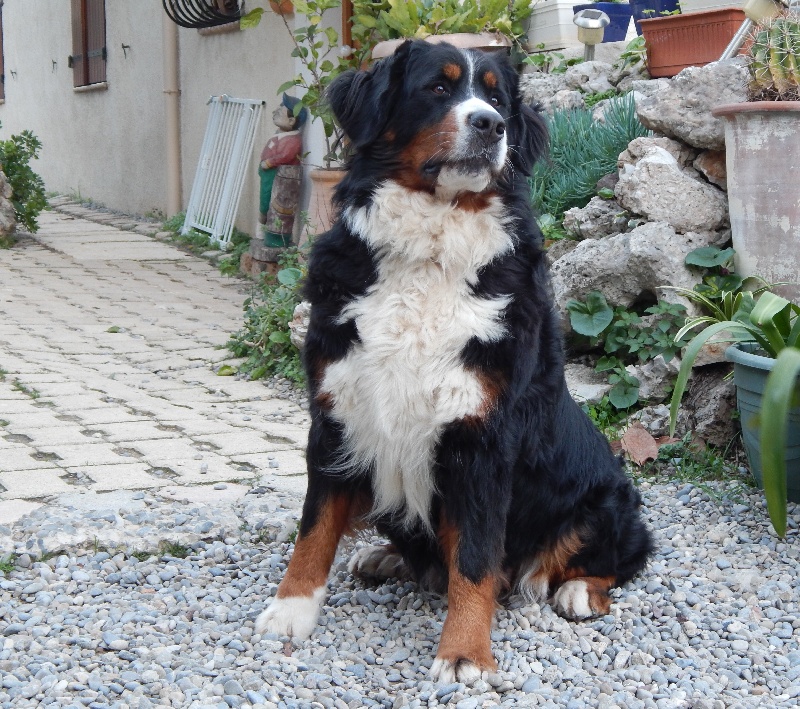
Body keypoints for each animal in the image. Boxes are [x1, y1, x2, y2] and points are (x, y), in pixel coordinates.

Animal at [255, 40, 653, 684]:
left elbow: (475, 556)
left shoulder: (482, 436)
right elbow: (314, 527)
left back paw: (575, 591)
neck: (429, 253)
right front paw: (291, 610)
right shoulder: (335, 412)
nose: (490, 125)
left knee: (618, 556)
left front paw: (466, 653)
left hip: (606, 496)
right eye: (438, 89)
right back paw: (385, 557)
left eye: (497, 98)